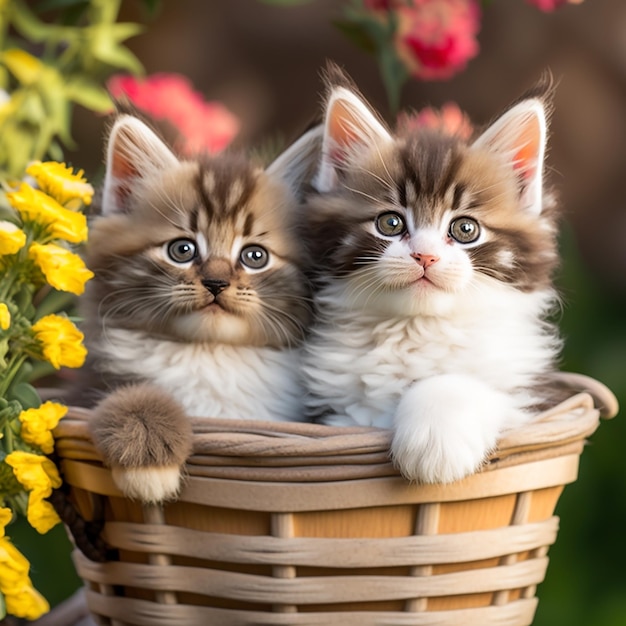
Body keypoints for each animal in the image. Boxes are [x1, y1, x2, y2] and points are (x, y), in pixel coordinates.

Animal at [300, 72, 564, 482]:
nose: (426, 255)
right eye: (390, 223)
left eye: (465, 229)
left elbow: (463, 383)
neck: (418, 329)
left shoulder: (534, 395)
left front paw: (436, 443)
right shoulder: (333, 414)